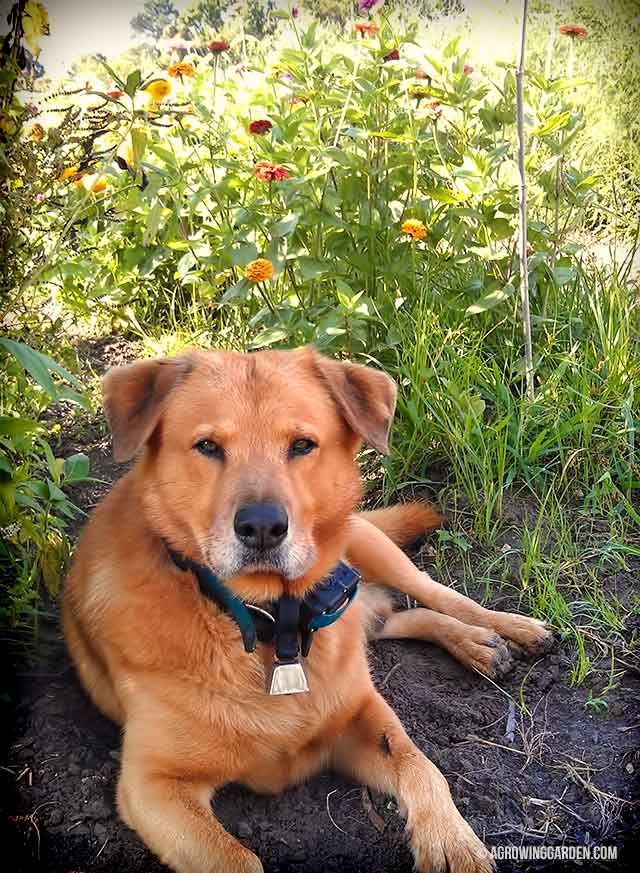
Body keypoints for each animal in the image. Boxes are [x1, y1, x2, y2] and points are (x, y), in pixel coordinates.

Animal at [65, 348, 552, 872]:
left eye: (302, 445)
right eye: (207, 446)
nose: (262, 526)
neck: (268, 621)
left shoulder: (362, 713)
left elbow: (420, 766)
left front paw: (451, 840)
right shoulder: (153, 785)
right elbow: (239, 861)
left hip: (370, 545)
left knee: (436, 594)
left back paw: (503, 631)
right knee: (398, 618)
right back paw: (476, 644)